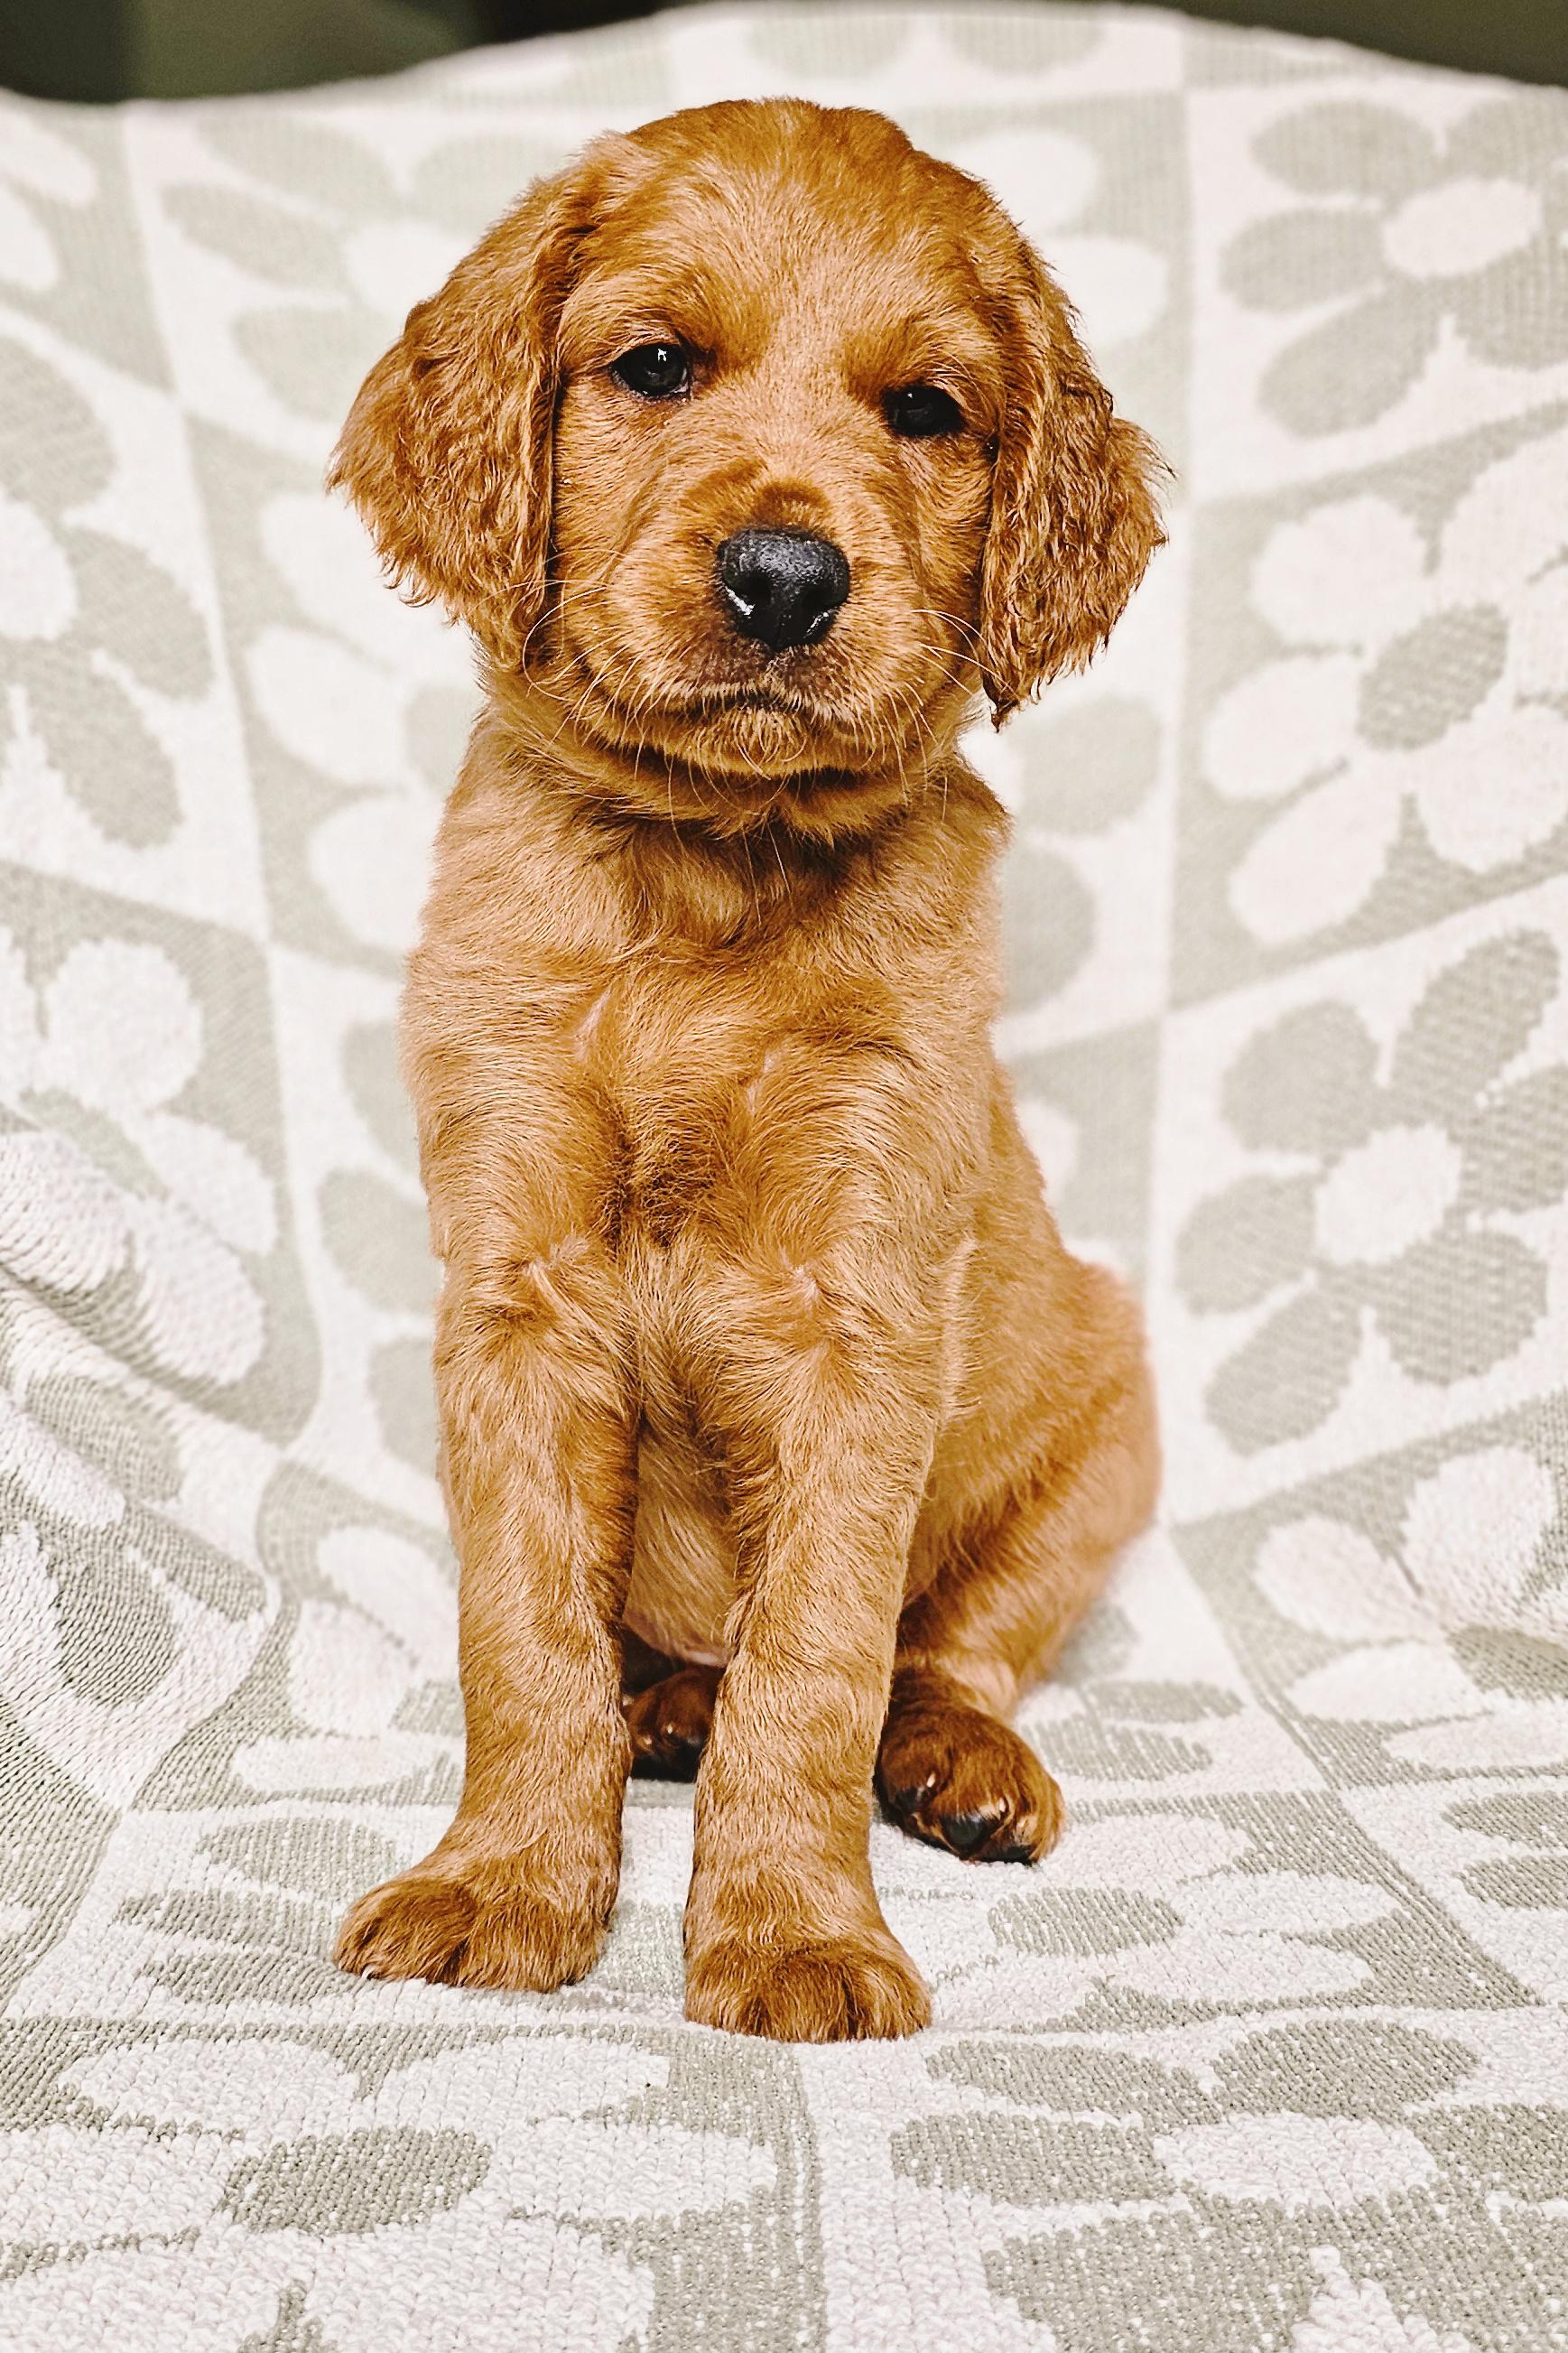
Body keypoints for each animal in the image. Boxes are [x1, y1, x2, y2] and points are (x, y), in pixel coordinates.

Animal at [330, 97, 1163, 2041]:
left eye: (923, 410)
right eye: (654, 366)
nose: (785, 579)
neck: (709, 875)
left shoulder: (862, 1315)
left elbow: (819, 1657)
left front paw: (793, 1934)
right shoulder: (516, 1291)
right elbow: (523, 1633)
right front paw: (504, 1884)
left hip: (1107, 1418)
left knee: (953, 1644)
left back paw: (961, 1765)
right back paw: (657, 1704)